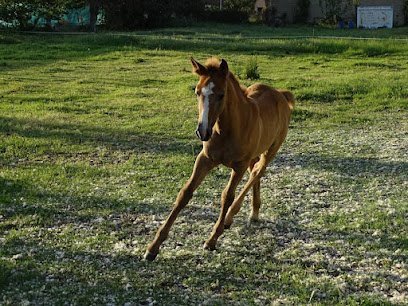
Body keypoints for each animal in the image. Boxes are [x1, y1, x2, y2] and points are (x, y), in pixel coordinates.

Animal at [145, 56, 294, 260]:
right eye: (197, 92)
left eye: (222, 94)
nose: (202, 132)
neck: (228, 129)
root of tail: (280, 94)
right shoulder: (205, 159)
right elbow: (185, 193)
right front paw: (153, 247)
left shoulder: (238, 166)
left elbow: (227, 196)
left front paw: (212, 239)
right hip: (254, 155)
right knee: (255, 174)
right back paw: (254, 212)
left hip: (270, 151)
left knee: (257, 172)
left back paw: (230, 217)